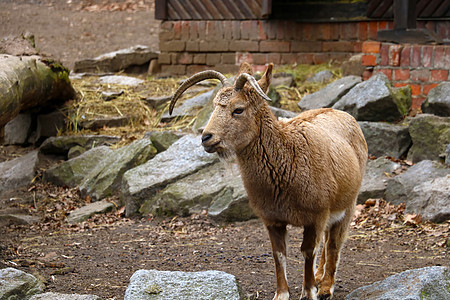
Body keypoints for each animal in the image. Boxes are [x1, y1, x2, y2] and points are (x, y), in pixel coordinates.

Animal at [171, 62, 368, 298]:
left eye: (238, 109)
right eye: (214, 106)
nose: (206, 138)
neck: (288, 159)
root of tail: (344, 115)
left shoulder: (316, 215)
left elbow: (308, 251)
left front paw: (309, 291)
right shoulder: (273, 219)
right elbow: (278, 254)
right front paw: (282, 293)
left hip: (349, 203)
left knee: (334, 242)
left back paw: (325, 287)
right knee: (328, 239)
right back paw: (320, 276)